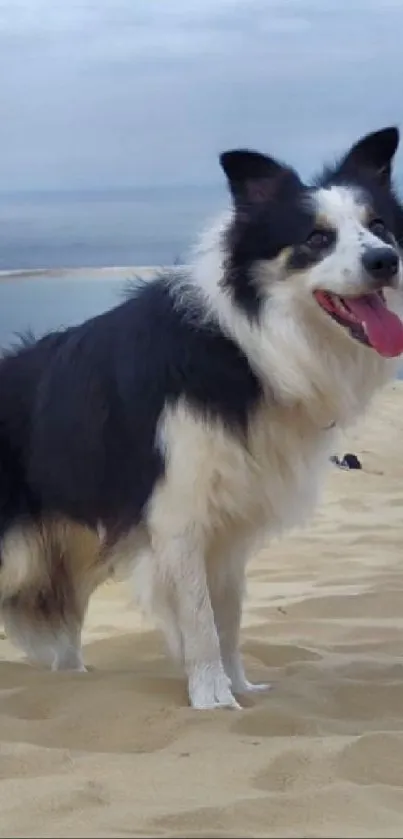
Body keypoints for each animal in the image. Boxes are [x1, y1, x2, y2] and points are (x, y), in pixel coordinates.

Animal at [0, 126, 403, 708]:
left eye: (379, 227)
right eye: (316, 239)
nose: (385, 261)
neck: (247, 347)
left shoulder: (230, 524)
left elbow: (228, 616)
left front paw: (241, 690)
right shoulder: (179, 517)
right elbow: (200, 621)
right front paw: (213, 698)